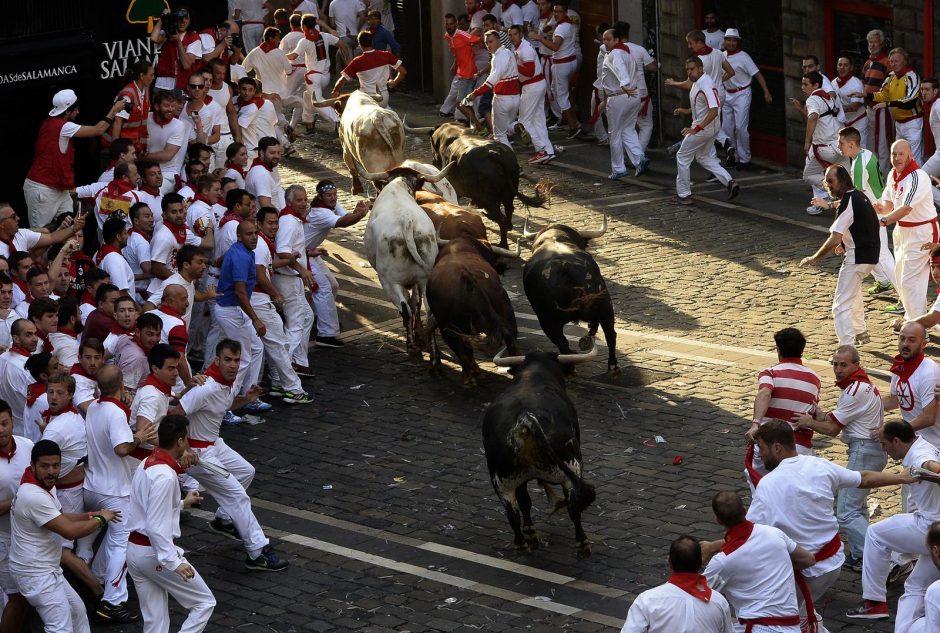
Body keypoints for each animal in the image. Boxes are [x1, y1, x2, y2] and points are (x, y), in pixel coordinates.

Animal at [360, 164, 456, 356]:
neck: (398, 187)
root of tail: (407, 221)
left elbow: (409, 305)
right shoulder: (418, 281)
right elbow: (416, 303)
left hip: (389, 282)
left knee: (405, 309)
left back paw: (412, 346)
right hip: (425, 280)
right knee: (428, 310)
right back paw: (432, 350)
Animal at [430, 122, 548, 251]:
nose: (433, 162)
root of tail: (496, 156)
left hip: (490, 201)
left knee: (500, 218)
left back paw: (503, 244)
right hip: (508, 195)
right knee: (509, 210)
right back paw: (507, 228)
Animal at [484, 350, 596, 556]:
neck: (534, 374)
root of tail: (526, 418)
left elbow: (525, 502)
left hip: (502, 482)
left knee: (513, 513)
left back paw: (524, 542)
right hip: (571, 468)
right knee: (574, 506)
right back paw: (582, 546)